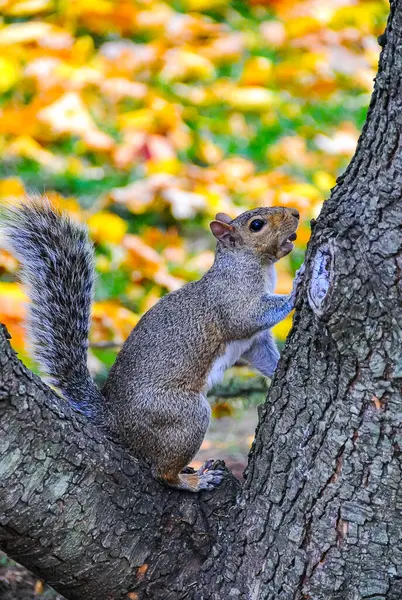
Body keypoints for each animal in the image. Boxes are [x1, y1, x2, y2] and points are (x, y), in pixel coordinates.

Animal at [0, 200, 302, 492]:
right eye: (257, 225)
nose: (296, 213)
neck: (249, 264)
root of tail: (117, 421)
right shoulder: (233, 303)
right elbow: (248, 317)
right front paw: (297, 286)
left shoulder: (254, 343)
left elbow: (262, 354)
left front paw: (278, 368)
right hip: (183, 416)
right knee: (163, 472)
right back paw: (194, 481)